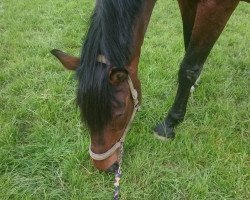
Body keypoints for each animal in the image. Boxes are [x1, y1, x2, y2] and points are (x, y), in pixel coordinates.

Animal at [50, 0, 248, 172]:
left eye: (119, 114)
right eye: (83, 111)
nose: (104, 166)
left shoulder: (216, 6)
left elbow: (189, 67)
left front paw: (170, 123)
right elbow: (188, 44)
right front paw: (193, 87)